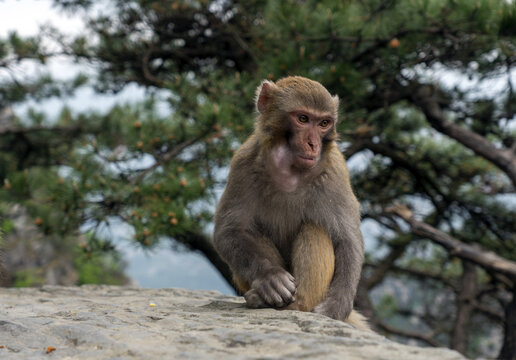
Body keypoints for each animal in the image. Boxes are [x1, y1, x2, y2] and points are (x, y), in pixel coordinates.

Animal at [212, 76, 368, 332]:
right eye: (303, 119)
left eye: (324, 123)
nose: (313, 144)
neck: (290, 171)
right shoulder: (243, 163)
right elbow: (229, 232)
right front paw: (270, 278)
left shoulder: (335, 172)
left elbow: (348, 240)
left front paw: (336, 308)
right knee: (251, 231)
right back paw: (264, 298)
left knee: (315, 228)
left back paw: (297, 305)